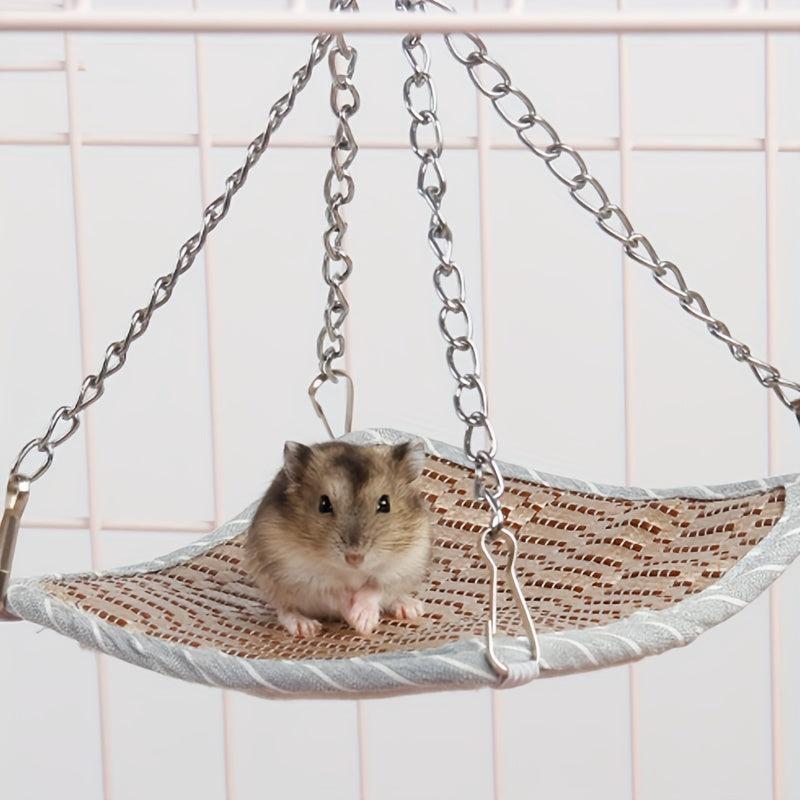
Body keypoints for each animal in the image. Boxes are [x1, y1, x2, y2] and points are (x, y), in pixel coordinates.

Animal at [244, 439, 432, 638]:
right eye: (323, 504)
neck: (351, 572)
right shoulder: (300, 576)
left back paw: (411, 609)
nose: (354, 558)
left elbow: (374, 588)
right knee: (285, 610)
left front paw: (364, 623)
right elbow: (336, 594)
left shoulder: (400, 567)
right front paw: (357, 621)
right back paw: (306, 628)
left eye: (385, 504)